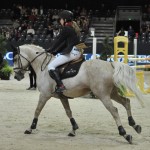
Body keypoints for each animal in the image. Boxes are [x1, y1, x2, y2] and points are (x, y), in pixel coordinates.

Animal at [12, 44, 145, 144]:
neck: (43, 67)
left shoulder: (44, 95)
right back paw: (135, 125)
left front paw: (30, 128)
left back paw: (125, 134)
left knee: (115, 111)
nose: (17, 76)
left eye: (15, 59)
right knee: (126, 102)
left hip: (102, 95)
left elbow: (37, 111)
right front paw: (74, 129)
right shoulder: (62, 96)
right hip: (112, 93)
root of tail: (109, 64)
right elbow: (68, 112)